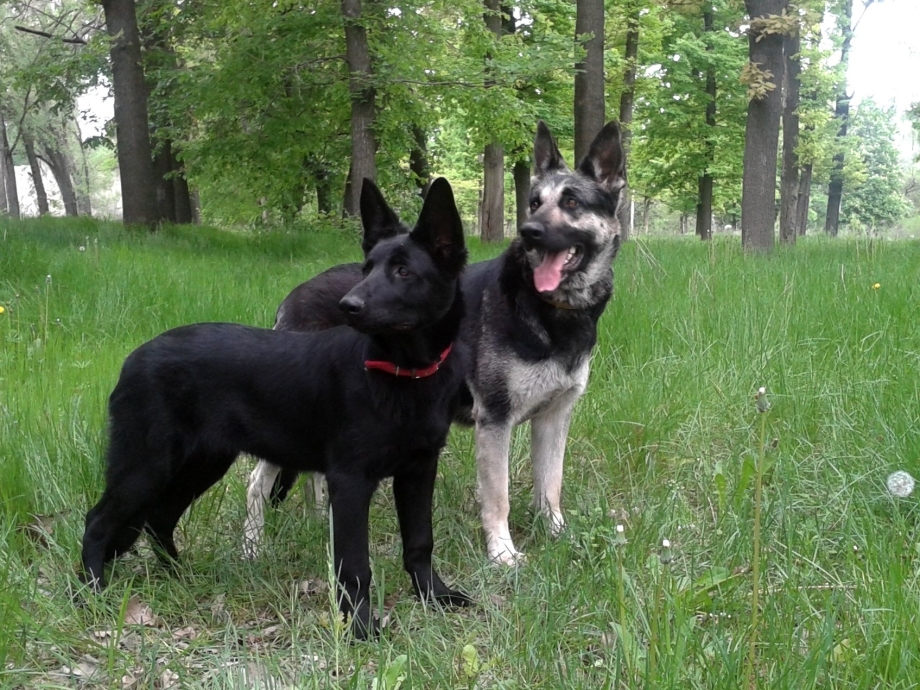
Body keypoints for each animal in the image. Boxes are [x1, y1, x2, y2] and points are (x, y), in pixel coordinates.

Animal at [81, 176, 474, 636]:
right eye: (366, 268)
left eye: (403, 271)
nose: (347, 306)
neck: (400, 374)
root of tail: (133, 359)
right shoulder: (350, 481)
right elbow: (355, 565)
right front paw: (360, 626)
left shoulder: (418, 471)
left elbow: (419, 542)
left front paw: (435, 597)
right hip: (145, 465)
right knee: (99, 521)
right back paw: (91, 592)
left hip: (201, 464)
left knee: (159, 517)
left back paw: (178, 575)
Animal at [244, 119, 624, 564]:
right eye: (534, 203)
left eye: (572, 202)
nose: (529, 232)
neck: (549, 310)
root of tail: (294, 295)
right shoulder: (495, 422)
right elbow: (498, 497)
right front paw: (502, 553)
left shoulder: (553, 418)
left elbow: (550, 487)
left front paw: (559, 537)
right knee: (256, 483)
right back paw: (252, 547)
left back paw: (321, 521)